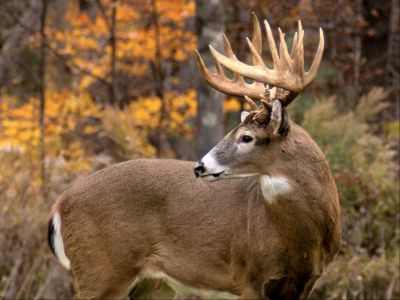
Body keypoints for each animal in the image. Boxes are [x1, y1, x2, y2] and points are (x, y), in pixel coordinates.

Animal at [47, 12, 340, 298]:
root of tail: (59, 204)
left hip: (152, 284)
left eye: (246, 137)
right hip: (101, 271)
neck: (303, 244)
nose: (200, 166)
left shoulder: (307, 282)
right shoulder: (249, 276)